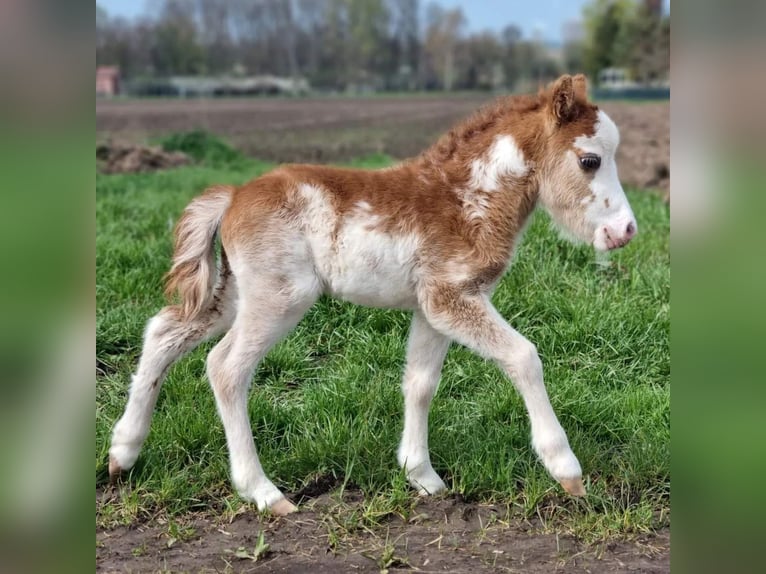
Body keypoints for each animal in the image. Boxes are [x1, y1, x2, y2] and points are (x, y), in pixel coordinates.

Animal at [106, 74, 636, 520]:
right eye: (590, 160)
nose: (624, 231)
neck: (467, 198)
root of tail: (233, 196)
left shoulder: (433, 307)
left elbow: (420, 383)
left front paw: (422, 476)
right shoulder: (452, 298)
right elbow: (524, 357)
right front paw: (566, 470)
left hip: (236, 291)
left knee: (164, 332)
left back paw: (122, 454)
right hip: (280, 297)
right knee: (225, 367)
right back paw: (263, 492)